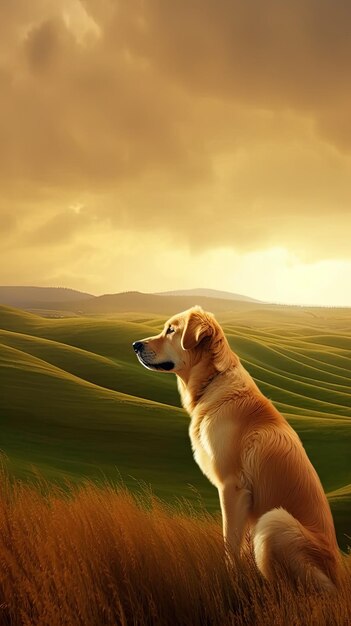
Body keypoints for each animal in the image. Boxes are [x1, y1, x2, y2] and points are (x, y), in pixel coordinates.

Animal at [133, 304, 340, 588]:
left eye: (171, 330)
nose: (135, 345)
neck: (213, 382)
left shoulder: (232, 487)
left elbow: (230, 545)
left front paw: (231, 581)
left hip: (274, 520)